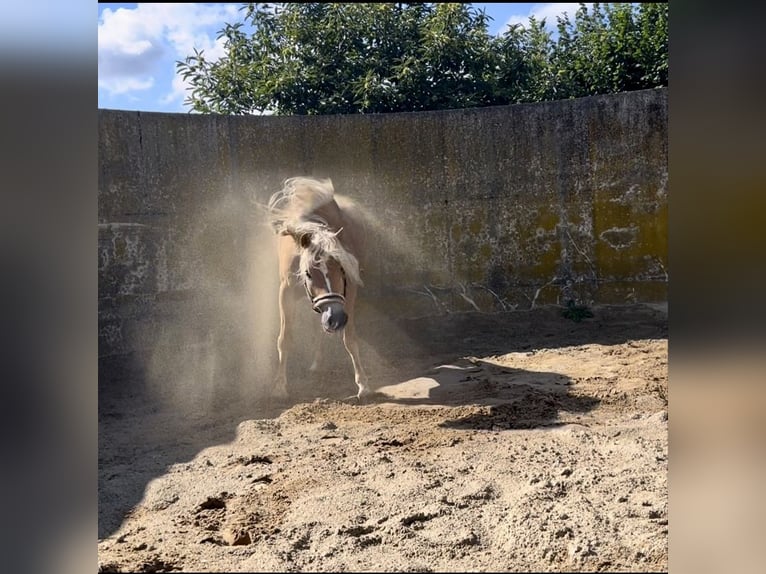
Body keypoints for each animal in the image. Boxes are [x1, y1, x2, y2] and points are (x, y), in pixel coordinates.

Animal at [266, 176, 371, 401]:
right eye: (307, 273)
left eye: (341, 269)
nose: (336, 318)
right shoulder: (286, 293)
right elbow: (284, 339)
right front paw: (279, 387)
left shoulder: (349, 291)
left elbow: (350, 339)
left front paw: (363, 384)